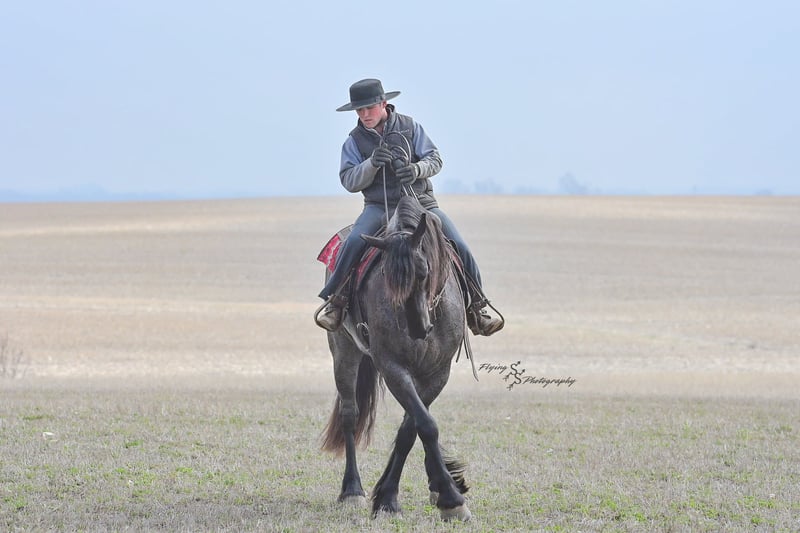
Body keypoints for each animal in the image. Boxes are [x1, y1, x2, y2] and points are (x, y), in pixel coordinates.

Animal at [320, 195, 472, 521]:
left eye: (425, 271)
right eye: (387, 277)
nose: (417, 327)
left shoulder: (437, 372)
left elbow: (411, 428)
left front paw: (428, 490)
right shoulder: (392, 367)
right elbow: (425, 425)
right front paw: (450, 499)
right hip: (343, 351)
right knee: (350, 415)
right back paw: (352, 490)